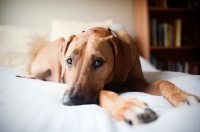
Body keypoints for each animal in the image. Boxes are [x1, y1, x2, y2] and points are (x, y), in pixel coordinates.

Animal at [25, 27, 199, 125]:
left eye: (98, 62)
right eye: (69, 60)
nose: (70, 101)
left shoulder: (138, 82)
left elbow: (162, 82)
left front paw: (183, 97)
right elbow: (104, 92)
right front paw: (130, 107)